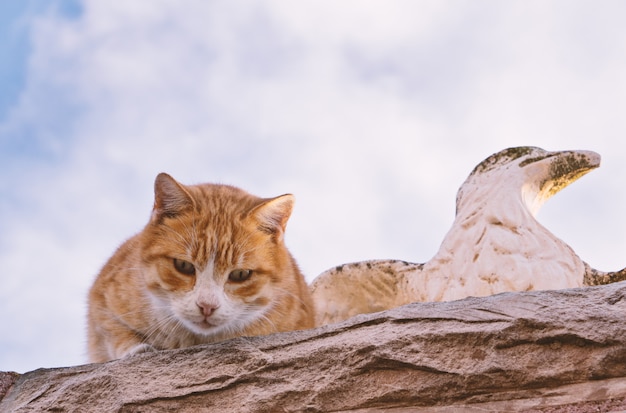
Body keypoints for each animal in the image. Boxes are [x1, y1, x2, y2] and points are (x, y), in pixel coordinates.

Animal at [86, 172, 312, 362]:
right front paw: (137, 349)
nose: (207, 307)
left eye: (240, 274)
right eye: (183, 265)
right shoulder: (101, 302)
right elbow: (114, 331)